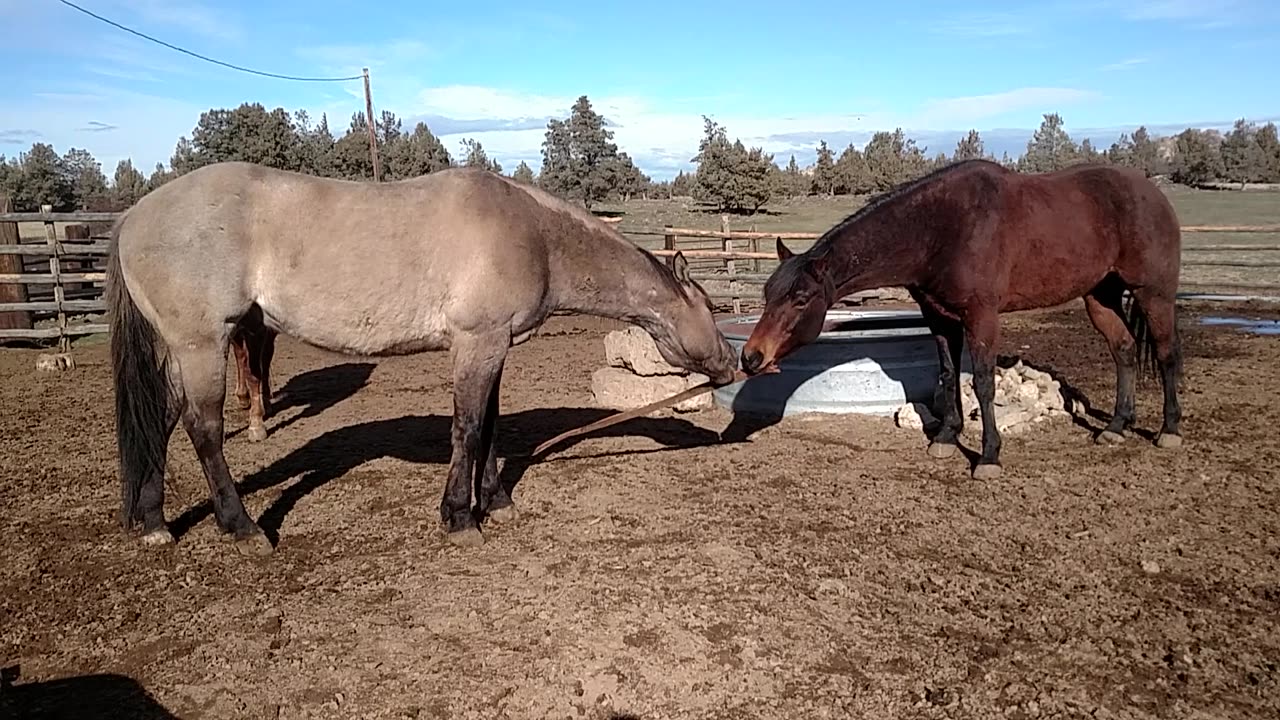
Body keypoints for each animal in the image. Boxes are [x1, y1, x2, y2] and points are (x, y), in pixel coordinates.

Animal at [107, 159, 742, 548]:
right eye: (711, 305)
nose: (732, 363)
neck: (534, 234)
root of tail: (133, 216)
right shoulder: (477, 343)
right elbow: (467, 428)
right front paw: (460, 517)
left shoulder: (494, 347)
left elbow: (490, 427)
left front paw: (496, 501)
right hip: (202, 344)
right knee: (204, 429)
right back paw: (241, 527)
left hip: (181, 350)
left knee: (160, 421)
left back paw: (154, 522)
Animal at [742, 159, 1187, 479]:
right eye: (767, 294)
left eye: (800, 299)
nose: (751, 356)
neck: (940, 229)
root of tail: (1154, 194)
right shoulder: (939, 317)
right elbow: (947, 373)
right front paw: (945, 437)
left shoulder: (981, 317)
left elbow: (985, 383)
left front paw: (989, 457)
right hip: (1100, 296)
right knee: (1124, 349)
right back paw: (1116, 427)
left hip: (1153, 294)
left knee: (1166, 353)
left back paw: (1169, 431)